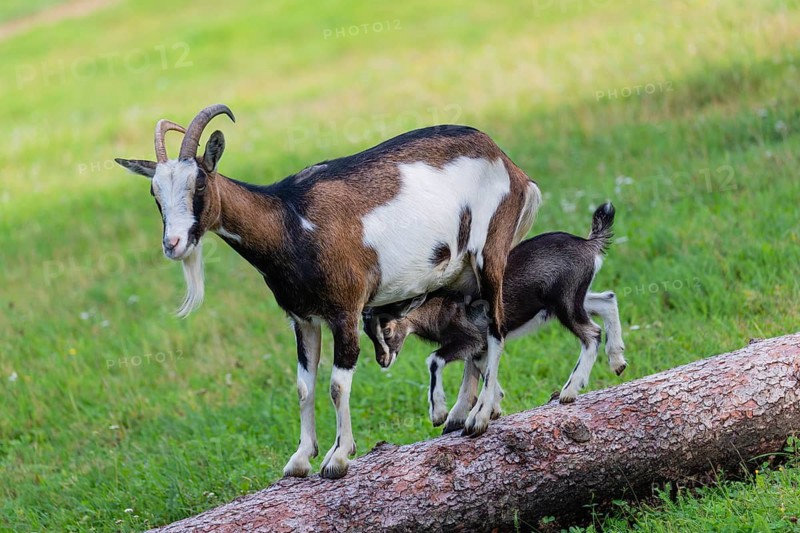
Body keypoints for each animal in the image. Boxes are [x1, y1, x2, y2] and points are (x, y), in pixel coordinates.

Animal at [115, 104, 541, 478]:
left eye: (200, 182)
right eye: (154, 193)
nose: (173, 244)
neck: (290, 222)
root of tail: (511, 166)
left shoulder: (346, 310)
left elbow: (337, 385)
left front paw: (338, 457)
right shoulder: (302, 318)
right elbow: (304, 387)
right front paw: (300, 459)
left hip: (490, 253)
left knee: (496, 330)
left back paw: (479, 416)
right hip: (460, 276)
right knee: (477, 340)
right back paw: (465, 412)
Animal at [363, 202, 625, 433]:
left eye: (387, 329)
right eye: (367, 333)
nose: (383, 361)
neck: (438, 304)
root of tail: (589, 245)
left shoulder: (470, 338)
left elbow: (436, 360)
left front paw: (441, 414)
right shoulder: (480, 343)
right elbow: (478, 368)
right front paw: (488, 408)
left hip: (566, 301)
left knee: (592, 334)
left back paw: (570, 391)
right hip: (570, 299)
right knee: (607, 300)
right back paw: (617, 361)